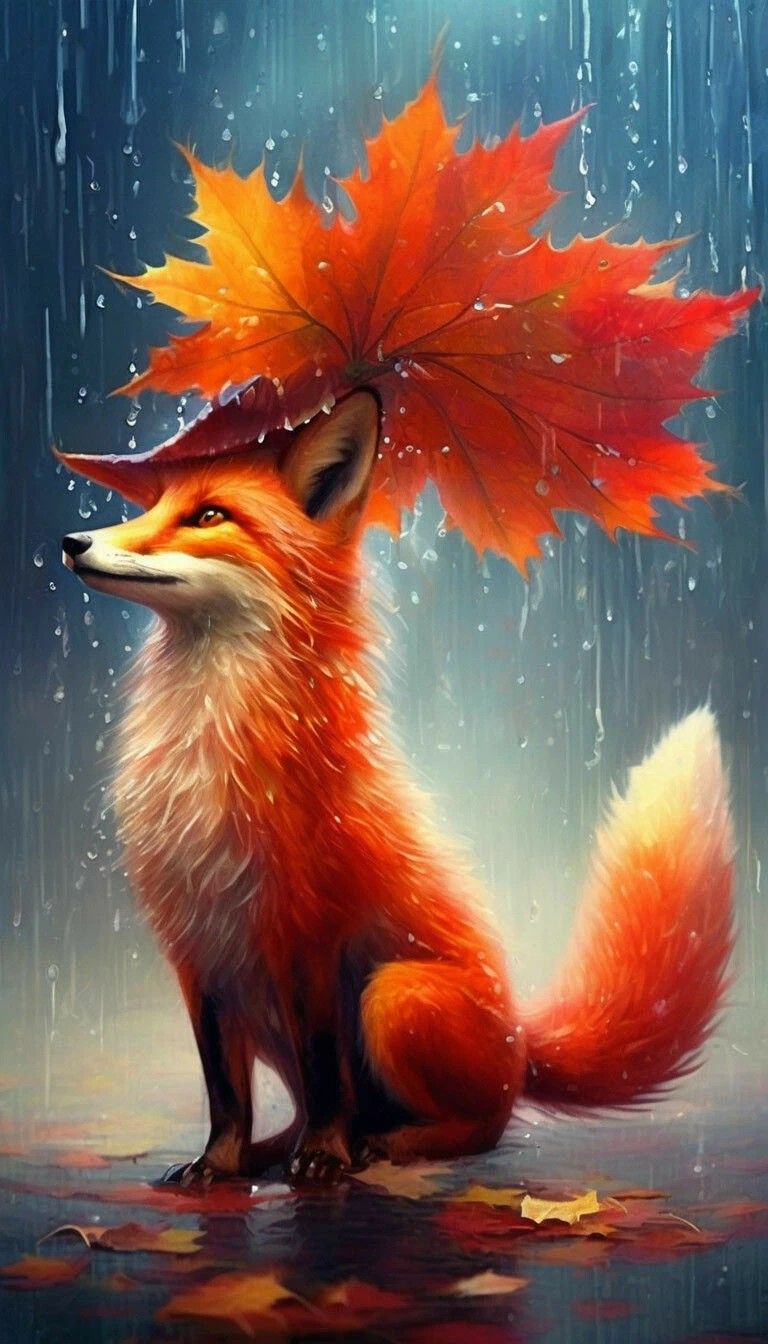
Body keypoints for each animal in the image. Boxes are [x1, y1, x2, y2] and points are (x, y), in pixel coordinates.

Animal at [60, 390, 734, 1185]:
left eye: (209, 515)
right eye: (153, 504)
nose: (72, 540)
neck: (208, 755)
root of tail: (520, 1040)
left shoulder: (310, 937)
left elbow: (325, 1074)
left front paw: (323, 1158)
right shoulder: (198, 955)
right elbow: (225, 1093)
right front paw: (218, 1166)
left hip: (394, 997)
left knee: (484, 1127)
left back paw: (380, 1146)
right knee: (307, 1113)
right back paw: (279, 1150)